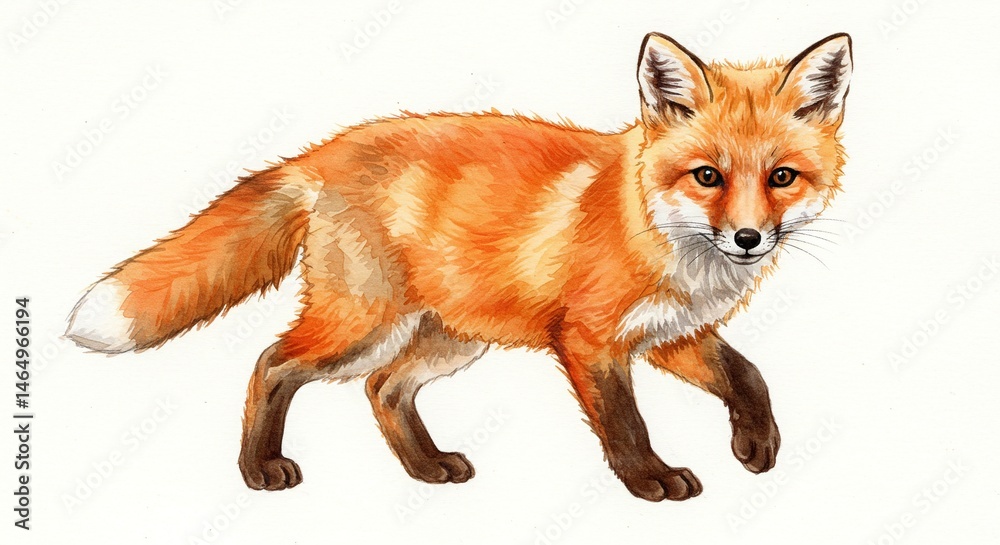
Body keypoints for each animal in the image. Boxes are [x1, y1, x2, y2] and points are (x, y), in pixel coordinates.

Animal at [66, 32, 852, 502]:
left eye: (782, 177)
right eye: (707, 176)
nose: (748, 238)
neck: (660, 230)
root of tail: (327, 149)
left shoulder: (669, 334)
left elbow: (748, 375)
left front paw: (757, 444)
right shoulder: (590, 339)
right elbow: (625, 424)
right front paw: (650, 480)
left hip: (449, 336)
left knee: (384, 389)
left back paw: (426, 467)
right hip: (364, 323)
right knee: (272, 363)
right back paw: (260, 469)